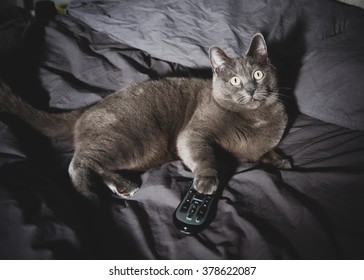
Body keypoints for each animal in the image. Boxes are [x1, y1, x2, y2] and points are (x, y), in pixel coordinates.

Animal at [0, 34, 290, 201]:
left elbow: (263, 152)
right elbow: (204, 154)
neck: (255, 118)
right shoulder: (194, 132)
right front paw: (206, 181)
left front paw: (281, 160)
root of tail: (87, 109)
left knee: (96, 163)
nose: (251, 90)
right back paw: (89, 194)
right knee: (79, 161)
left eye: (258, 75)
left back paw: (122, 186)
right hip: (133, 137)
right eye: (235, 80)